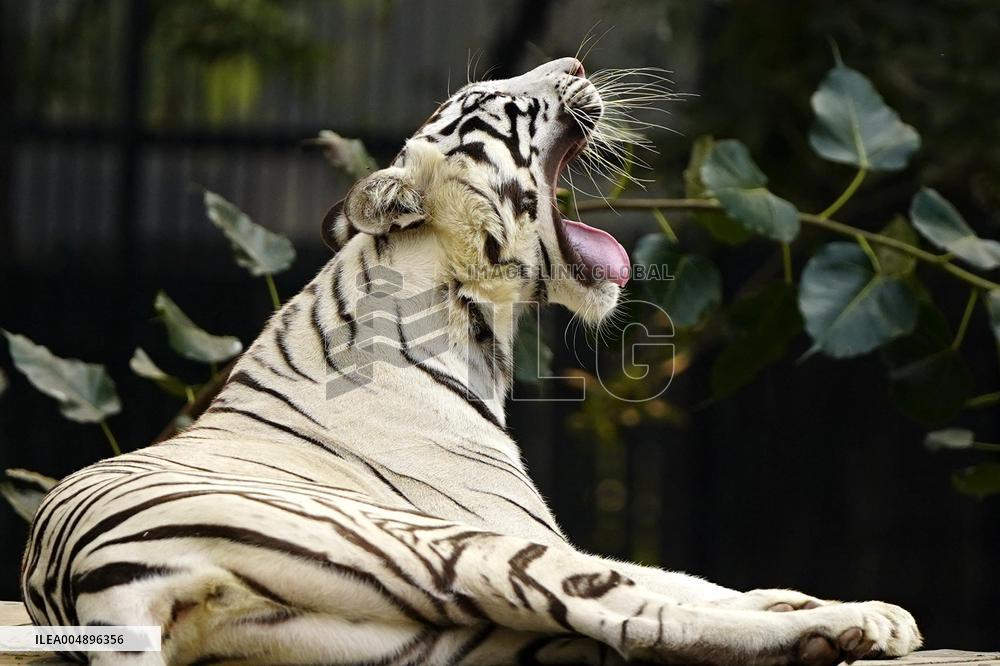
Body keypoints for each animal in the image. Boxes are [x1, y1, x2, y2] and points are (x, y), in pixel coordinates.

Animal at [20, 57, 921, 666]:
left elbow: (696, 576)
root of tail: (87, 586)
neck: (471, 313)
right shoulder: (516, 526)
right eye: (494, 102)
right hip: (454, 549)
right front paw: (848, 610)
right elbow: (666, 584)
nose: (577, 65)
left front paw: (816, 596)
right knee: (637, 619)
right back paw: (843, 628)